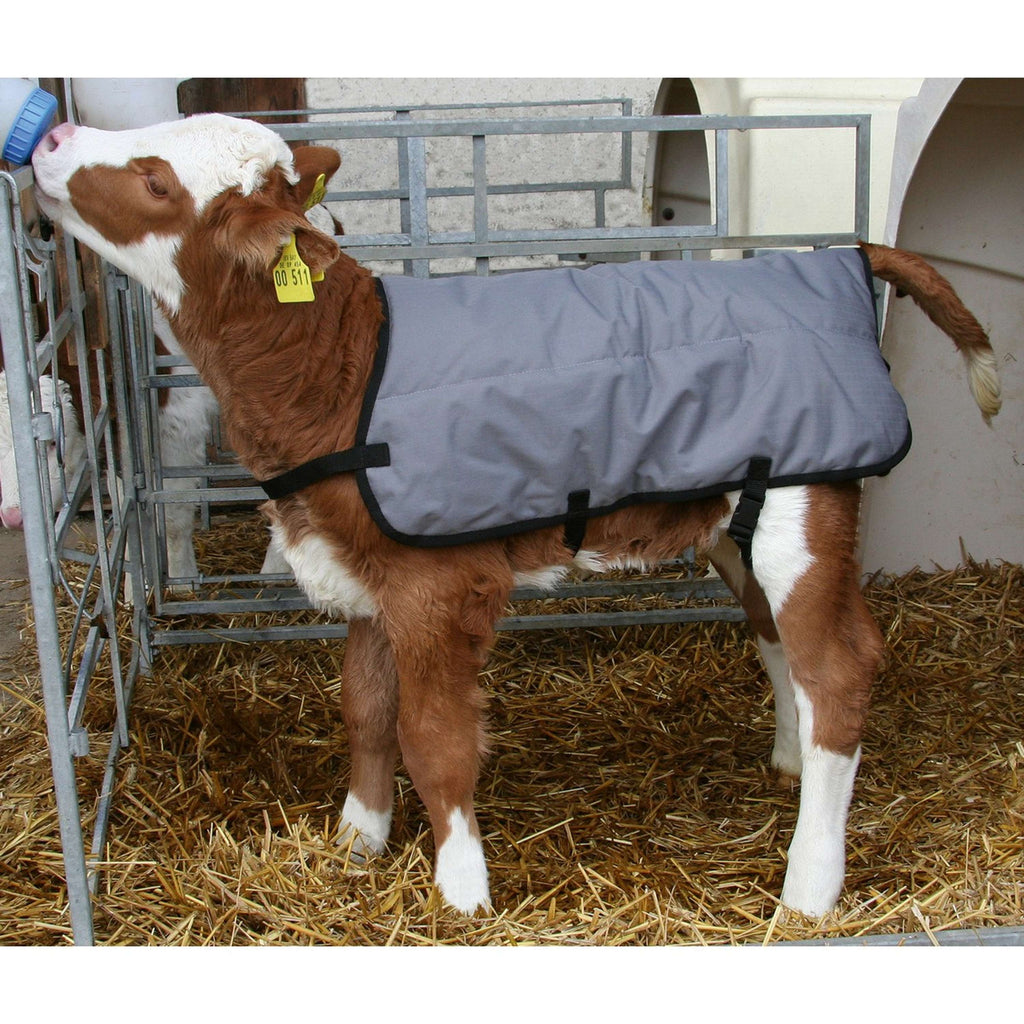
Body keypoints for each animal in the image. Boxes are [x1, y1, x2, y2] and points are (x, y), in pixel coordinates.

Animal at [31, 113, 1002, 917]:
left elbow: (433, 737)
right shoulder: (371, 565)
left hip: (805, 510)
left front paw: (461, 890)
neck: (332, 364)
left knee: (837, 668)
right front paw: (356, 841)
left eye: (155, 178)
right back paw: (790, 766)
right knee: (779, 644)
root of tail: (839, 258)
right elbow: (365, 710)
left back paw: (809, 886)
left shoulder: (438, 583)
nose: (52, 136)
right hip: (738, 517)